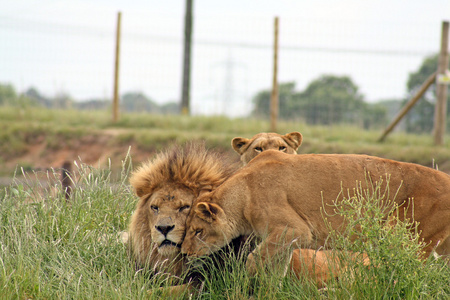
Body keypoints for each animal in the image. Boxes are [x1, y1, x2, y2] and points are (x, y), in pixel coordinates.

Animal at [182, 151, 450, 276]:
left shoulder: (294, 229)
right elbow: (276, 273)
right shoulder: (287, 241)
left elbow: (254, 259)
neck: (243, 192)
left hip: (410, 241)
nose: (184, 253)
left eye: (198, 231)